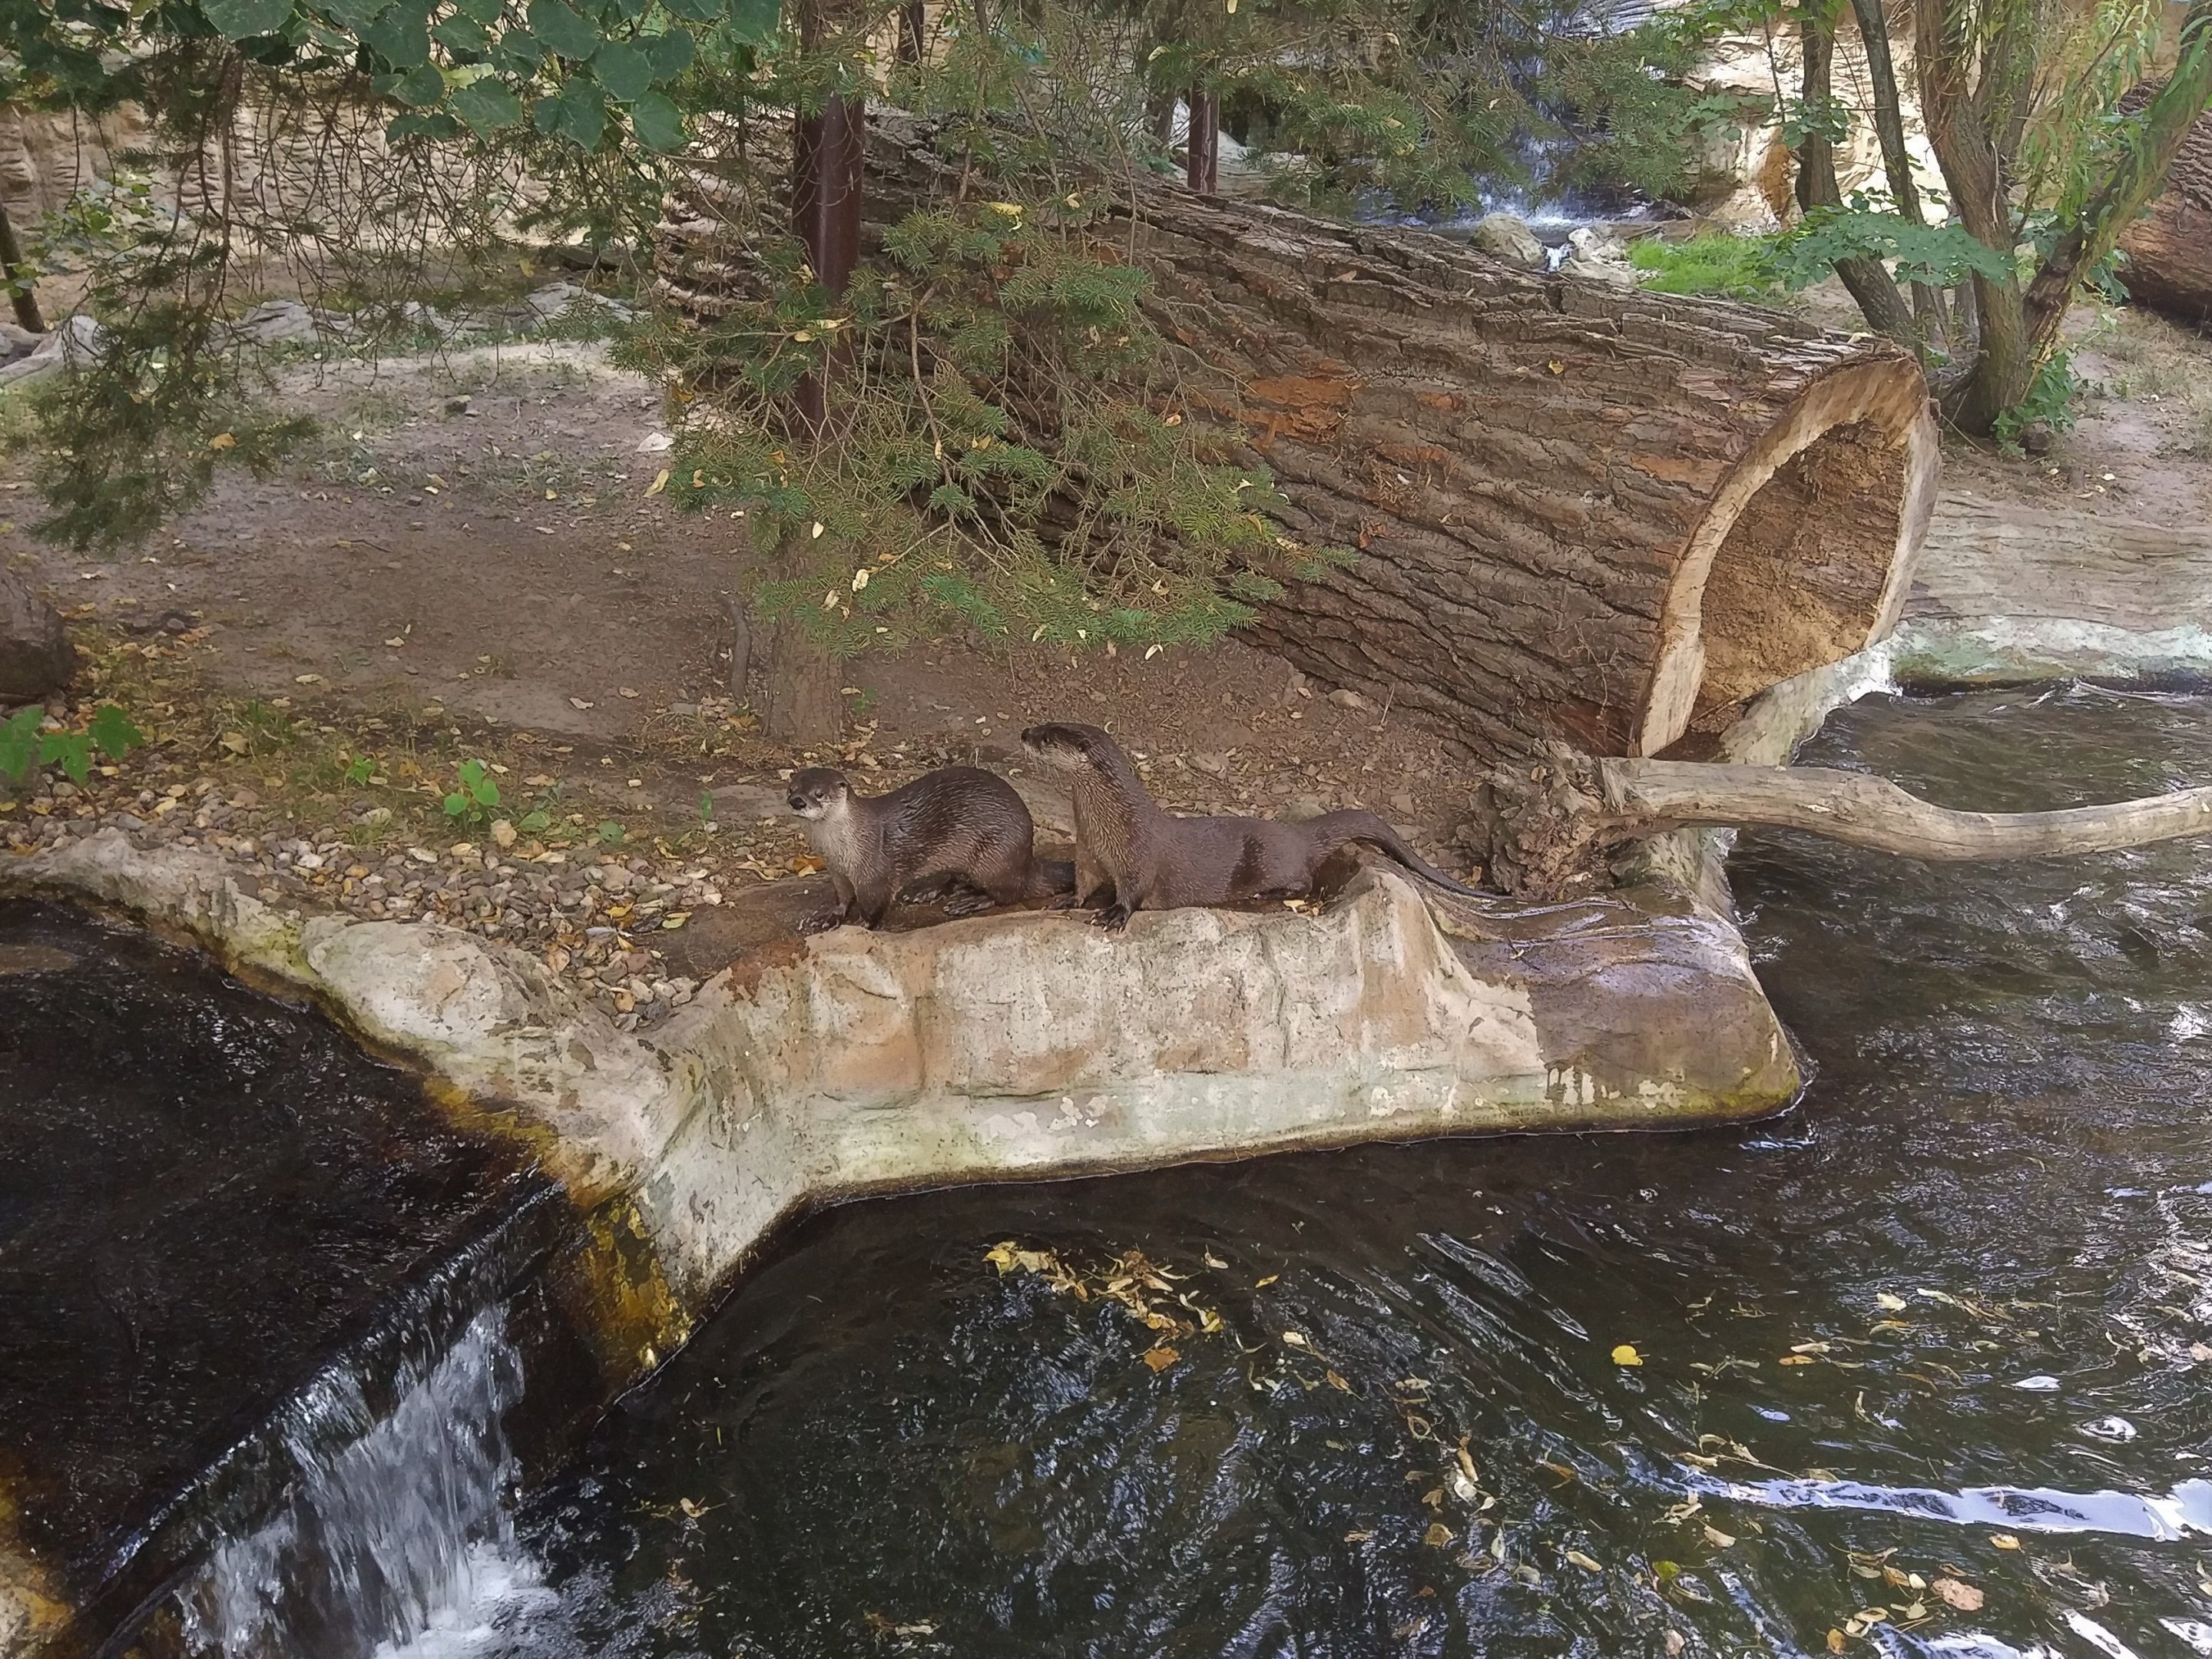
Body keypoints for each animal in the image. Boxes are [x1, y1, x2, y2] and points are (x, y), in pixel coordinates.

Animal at [785, 764, 1071, 931]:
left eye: (819, 793)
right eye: (791, 788)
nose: (797, 802)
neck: (840, 849)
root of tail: (1028, 861)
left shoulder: (873, 874)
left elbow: (873, 907)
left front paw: (859, 925)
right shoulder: (837, 872)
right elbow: (843, 898)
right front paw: (828, 917)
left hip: (996, 857)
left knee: (1010, 893)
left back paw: (970, 901)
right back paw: (926, 892)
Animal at [1018, 721, 1480, 929]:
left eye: (1047, 737)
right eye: (1041, 725)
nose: (1024, 733)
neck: (1109, 825)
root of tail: (1298, 834)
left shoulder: (1136, 856)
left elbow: (1133, 890)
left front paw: (1114, 914)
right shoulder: (1088, 853)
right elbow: (1083, 882)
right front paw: (1067, 900)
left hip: (1270, 857)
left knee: (1304, 882)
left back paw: (1265, 894)